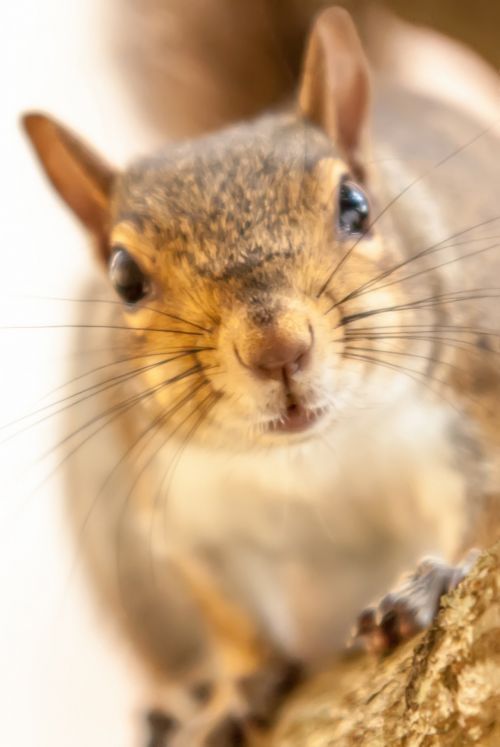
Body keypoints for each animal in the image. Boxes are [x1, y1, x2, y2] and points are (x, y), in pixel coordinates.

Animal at [22, 1, 500, 747]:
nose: (277, 348)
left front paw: (433, 576)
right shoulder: (185, 513)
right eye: (123, 277)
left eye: (356, 204)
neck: (309, 460)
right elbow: (229, 614)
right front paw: (236, 686)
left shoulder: (470, 403)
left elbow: (484, 509)